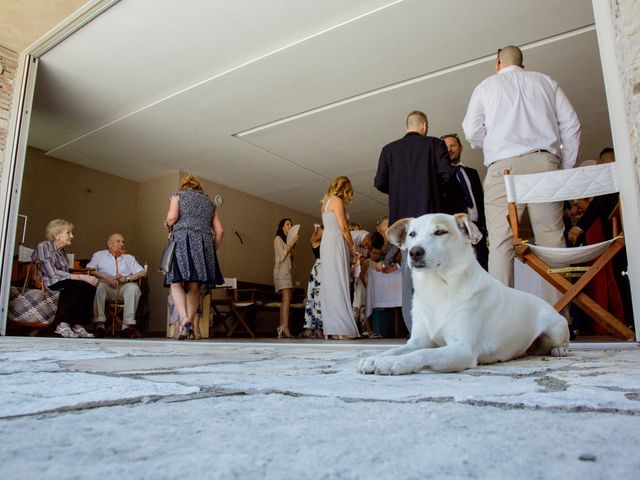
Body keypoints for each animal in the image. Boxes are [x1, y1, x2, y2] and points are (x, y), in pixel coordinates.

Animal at [356, 214, 568, 376]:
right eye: (412, 234)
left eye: (440, 232)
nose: (415, 252)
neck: (438, 288)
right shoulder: (418, 341)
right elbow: (397, 349)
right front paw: (375, 358)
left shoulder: (462, 349)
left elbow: (424, 354)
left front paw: (393, 362)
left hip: (556, 327)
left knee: (561, 340)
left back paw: (560, 349)